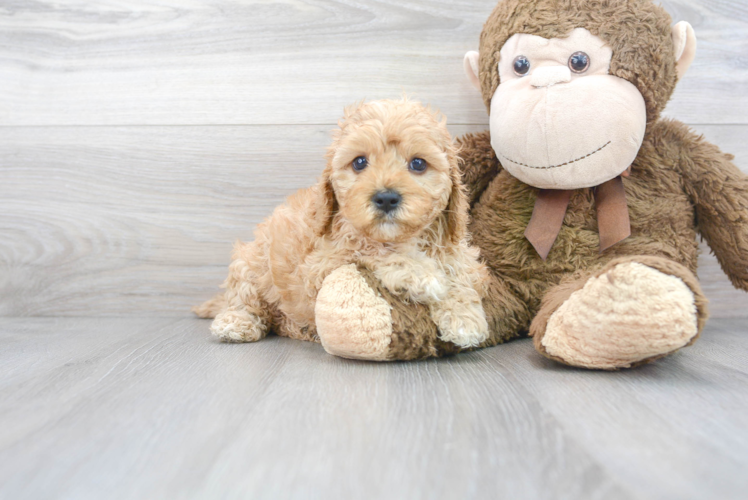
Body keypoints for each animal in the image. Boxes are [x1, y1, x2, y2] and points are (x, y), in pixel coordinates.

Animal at [193, 97, 488, 348]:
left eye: (418, 163)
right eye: (359, 162)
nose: (386, 198)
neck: (403, 238)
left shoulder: (457, 250)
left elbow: (459, 272)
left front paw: (463, 316)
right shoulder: (318, 267)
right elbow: (369, 247)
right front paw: (420, 275)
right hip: (251, 261)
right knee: (243, 298)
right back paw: (237, 323)